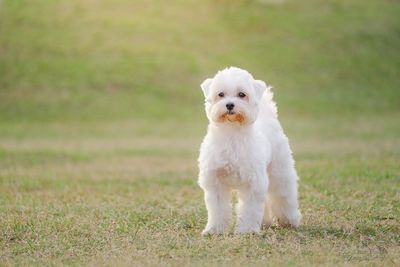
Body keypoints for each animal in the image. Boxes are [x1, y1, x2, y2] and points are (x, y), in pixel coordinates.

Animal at [197, 67, 300, 237]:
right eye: (221, 94)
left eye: (242, 94)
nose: (229, 105)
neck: (232, 134)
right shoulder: (215, 182)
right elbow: (218, 210)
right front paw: (215, 229)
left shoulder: (253, 182)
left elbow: (250, 210)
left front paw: (247, 231)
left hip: (279, 172)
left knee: (284, 195)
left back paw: (289, 220)